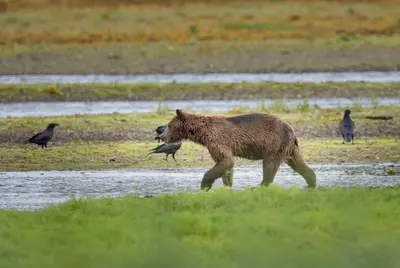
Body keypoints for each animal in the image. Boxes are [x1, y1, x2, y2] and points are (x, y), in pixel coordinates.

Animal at [158, 109, 318, 191]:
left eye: (169, 125)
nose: (161, 135)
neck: (203, 133)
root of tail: (291, 130)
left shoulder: (218, 140)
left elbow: (226, 160)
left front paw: (205, 185)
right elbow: (226, 166)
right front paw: (227, 186)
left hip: (274, 143)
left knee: (269, 165)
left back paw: (259, 186)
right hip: (290, 148)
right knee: (298, 163)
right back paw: (311, 182)